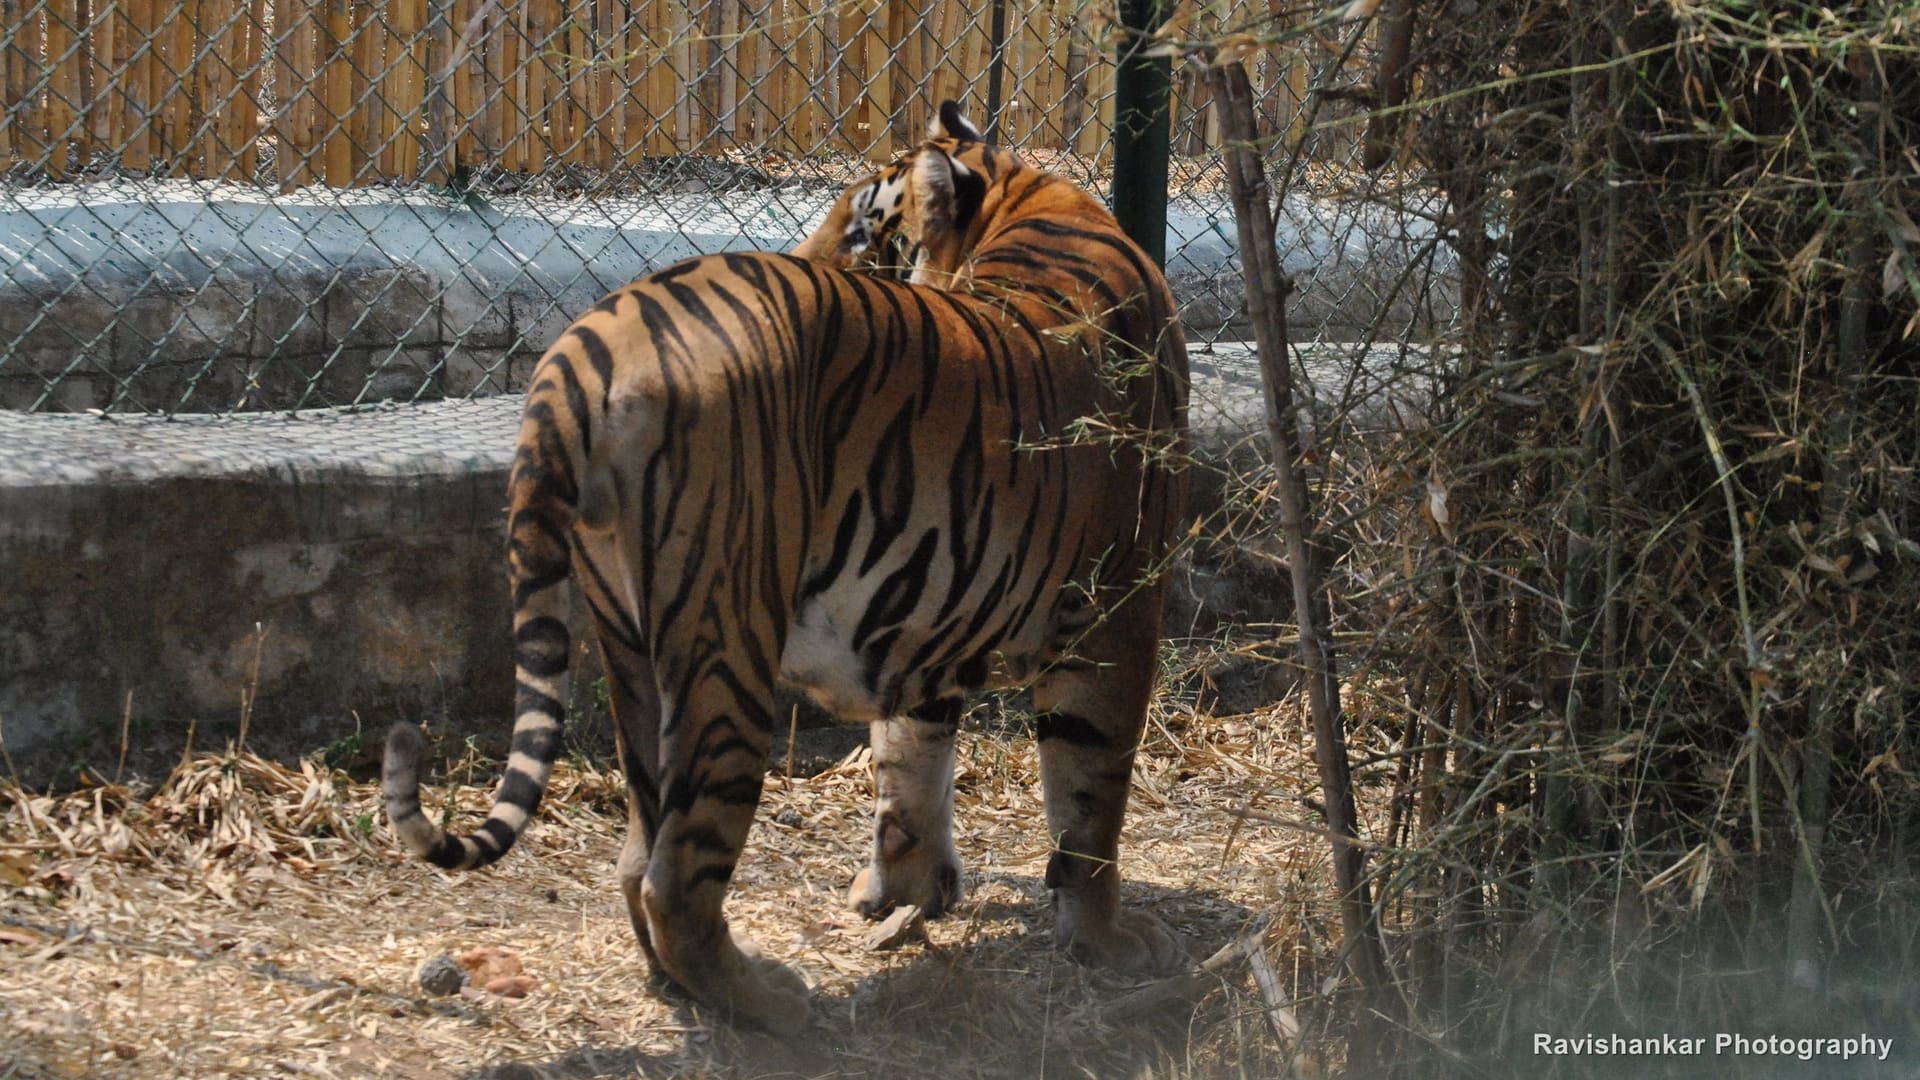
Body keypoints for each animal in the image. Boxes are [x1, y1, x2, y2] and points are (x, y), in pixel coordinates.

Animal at [383, 101, 1190, 1035]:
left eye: (862, 232)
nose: (816, 255)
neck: (1029, 199)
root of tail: (585, 347)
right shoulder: (1118, 604)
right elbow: (1091, 796)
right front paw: (1107, 939)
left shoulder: (929, 607)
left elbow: (910, 762)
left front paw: (902, 893)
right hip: (727, 648)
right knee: (676, 877)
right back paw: (767, 1001)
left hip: (629, 650)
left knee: (637, 851)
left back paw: (677, 985)